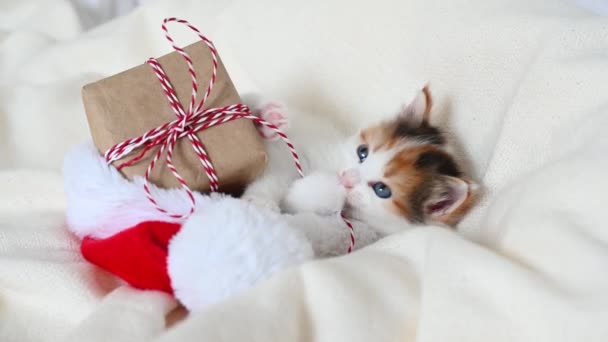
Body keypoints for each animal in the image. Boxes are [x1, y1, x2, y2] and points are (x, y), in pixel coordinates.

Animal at [241, 85, 476, 251]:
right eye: (362, 152)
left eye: (382, 189)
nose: (346, 178)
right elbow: (278, 174)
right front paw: (259, 200)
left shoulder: (351, 231)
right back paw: (270, 118)